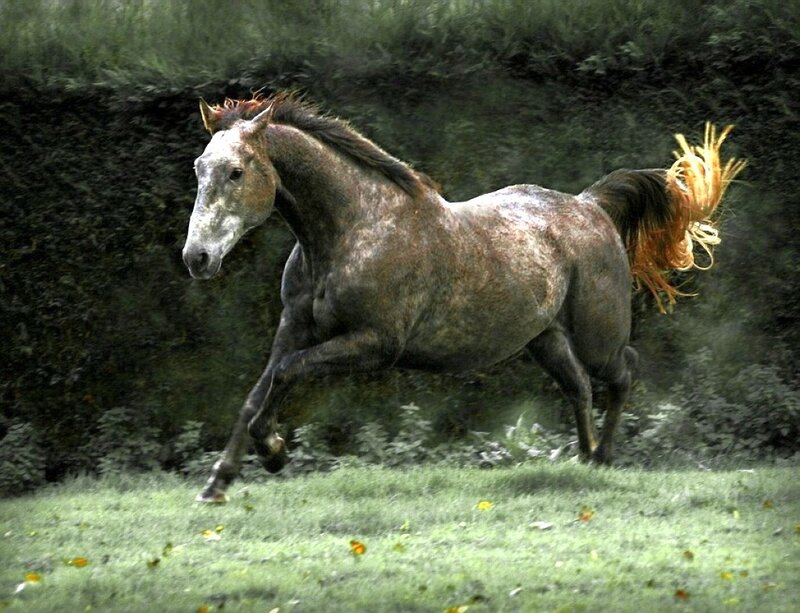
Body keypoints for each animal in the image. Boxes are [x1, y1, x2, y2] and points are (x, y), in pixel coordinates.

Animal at [182, 92, 745, 503]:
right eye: (198, 167)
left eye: (236, 171)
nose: (197, 258)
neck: (354, 229)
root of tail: (592, 206)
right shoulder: (294, 326)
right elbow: (257, 393)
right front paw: (217, 483)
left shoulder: (374, 343)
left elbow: (285, 374)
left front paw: (274, 452)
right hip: (546, 339)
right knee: (580, 388)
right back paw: (585, 459)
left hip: (597, 335)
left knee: (623, 372)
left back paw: (603, 457)